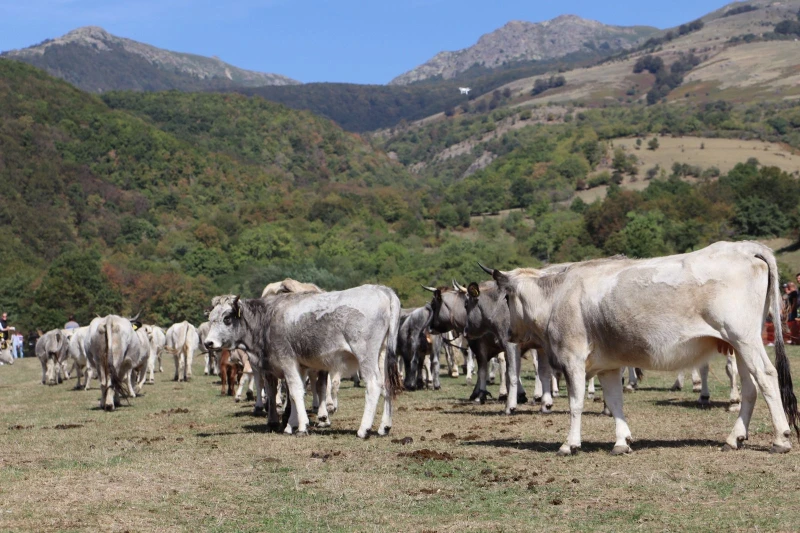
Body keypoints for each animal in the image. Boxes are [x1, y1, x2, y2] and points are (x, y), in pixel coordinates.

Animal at [205, 284, 404, 438]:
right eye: (210, 318)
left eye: (227, 318)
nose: (208, 343)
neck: (268, 319)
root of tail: (382, 290)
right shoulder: (298, 366)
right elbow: (295, 395)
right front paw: (291, 425)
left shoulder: (287, 361)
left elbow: (295, 392)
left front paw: (301, 427)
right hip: (382, 356)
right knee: (387, 385)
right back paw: (384, 427)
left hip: (365, 355)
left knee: (374, 385)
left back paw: (364, 429)